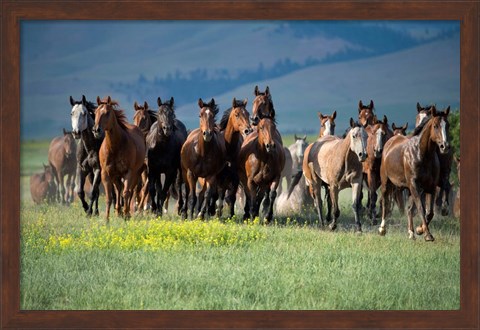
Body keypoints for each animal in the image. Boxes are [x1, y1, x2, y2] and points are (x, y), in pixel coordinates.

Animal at [378, 107, 450, 241]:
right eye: (435, 125)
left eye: (447, 125)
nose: (445, 146)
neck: (422, 154)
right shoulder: (414, 185)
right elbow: (421, 208)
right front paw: (427, 235)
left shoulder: (430, 187)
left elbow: (429, 212)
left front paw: (419, 229)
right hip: (386, 183)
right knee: (385, 202)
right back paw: (382, 229)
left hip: (409, 189)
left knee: (409, 209)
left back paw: (411, 232)